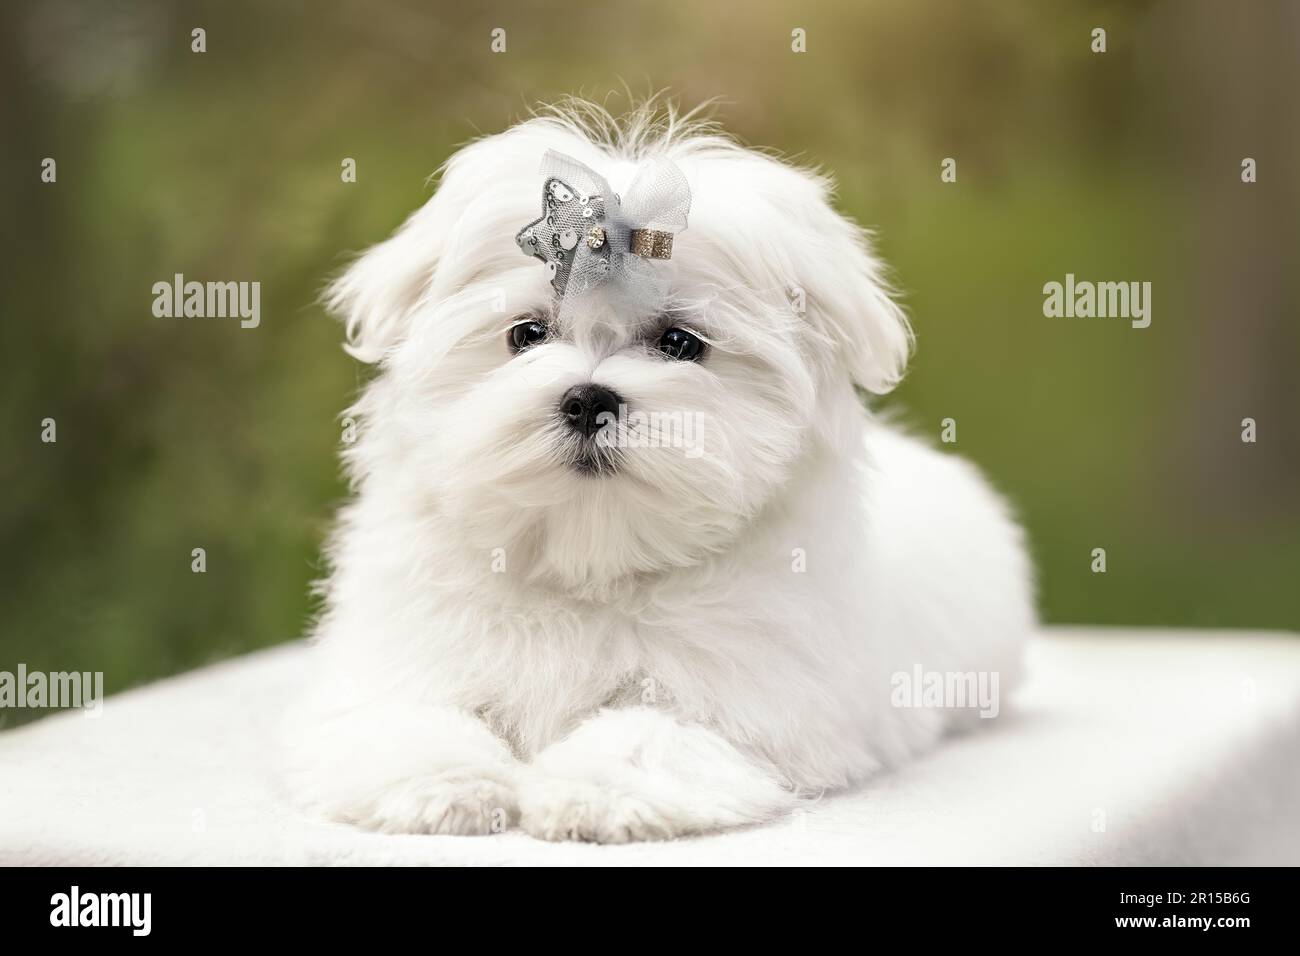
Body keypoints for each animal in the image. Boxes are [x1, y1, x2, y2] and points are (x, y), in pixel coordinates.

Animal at [284, 102, 1034, 842]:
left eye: (680, 343)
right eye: (525, 334)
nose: (588, 399)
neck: (591, 565)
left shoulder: (755, 698)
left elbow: (655, 732)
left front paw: (594, 792)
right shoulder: (408, 646)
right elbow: (401, 711)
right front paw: (439, 781)